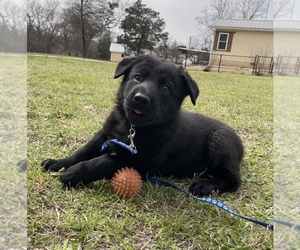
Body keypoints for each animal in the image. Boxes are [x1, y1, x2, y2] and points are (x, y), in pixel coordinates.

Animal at [42, 54, 244, 195]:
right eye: (138, 77)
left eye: (166, 88)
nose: (140, 99)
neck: (132, 128)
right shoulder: (105, 134)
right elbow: (83, 151)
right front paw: (59, 163)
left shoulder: (139, 163)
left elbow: (105, 161)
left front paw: (75, 173)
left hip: (220, 139)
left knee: (234, 181)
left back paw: (205, 185)